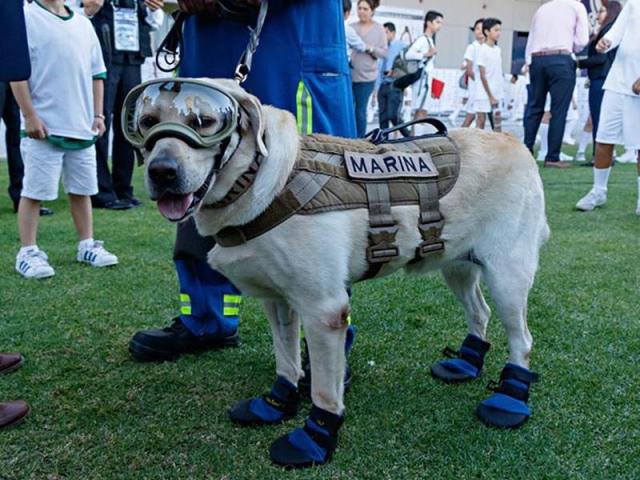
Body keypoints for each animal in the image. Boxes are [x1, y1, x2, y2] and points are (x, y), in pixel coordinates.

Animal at [122, 77, 548, 466]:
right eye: (146, 122)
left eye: (205, 121)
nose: (161, 172)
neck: (261, 180)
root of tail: (517, 143)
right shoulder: (278, 302)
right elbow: (287, 360)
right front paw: (276, 403)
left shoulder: (324, 310)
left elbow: (324, 391)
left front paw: (314, 439)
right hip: (457, 264)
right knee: (480, 311)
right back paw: (466, 363)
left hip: (507, 274)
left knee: (523, 339)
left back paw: (510, 400)